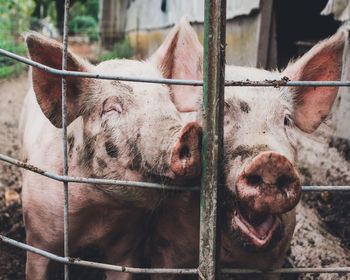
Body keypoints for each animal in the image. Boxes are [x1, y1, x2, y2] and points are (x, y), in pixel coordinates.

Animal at [19, 28, 202, 280]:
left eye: (168, 102)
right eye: (111, 108)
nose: (190, 131)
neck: (98, 210)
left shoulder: (127, 247)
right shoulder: (38, 236)